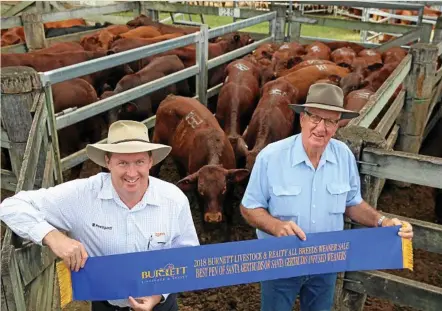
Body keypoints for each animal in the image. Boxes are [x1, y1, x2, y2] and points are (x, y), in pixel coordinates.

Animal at [151, 95, 249, 241]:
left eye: (223, 189)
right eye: (201, 190)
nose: (213, 218)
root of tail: (171, 97)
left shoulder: (231, 186)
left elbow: (229, 211)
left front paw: (229, 235)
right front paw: (206, 233)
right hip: (159, 141)